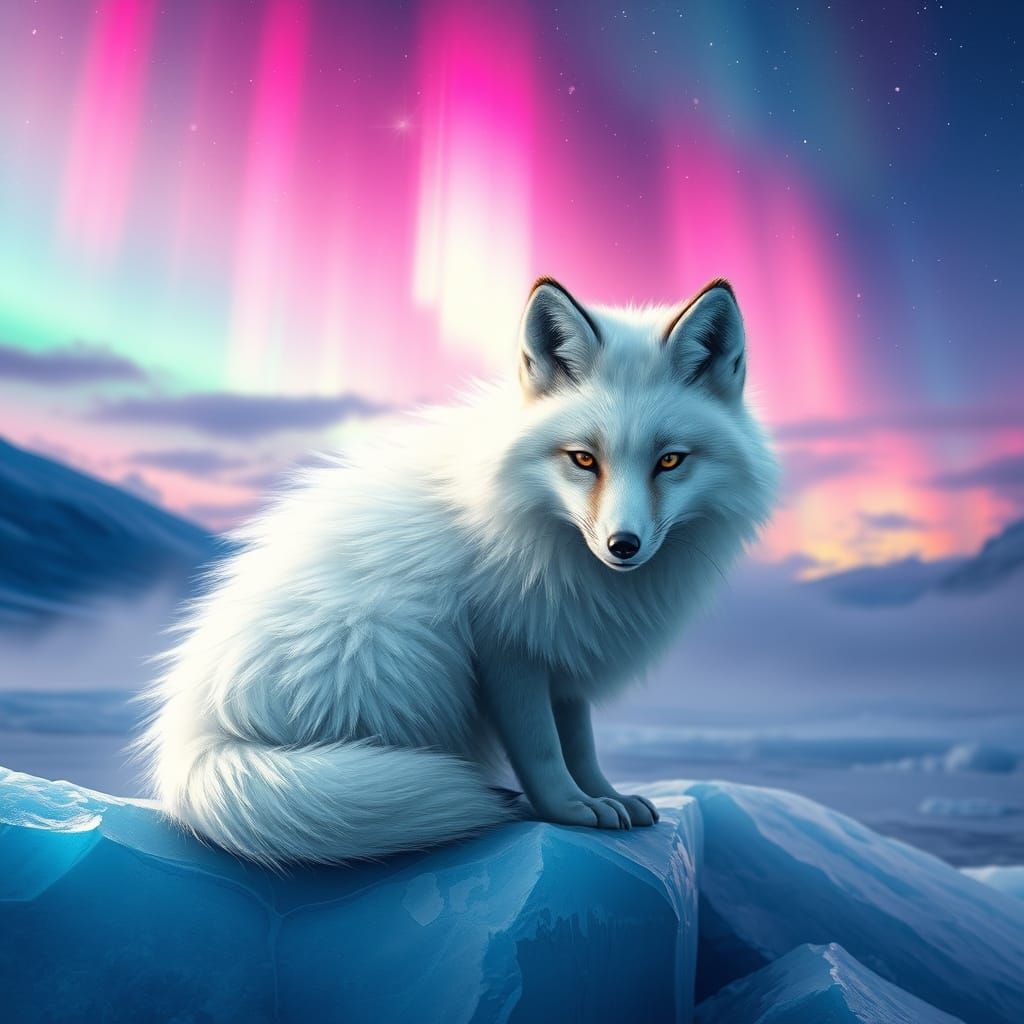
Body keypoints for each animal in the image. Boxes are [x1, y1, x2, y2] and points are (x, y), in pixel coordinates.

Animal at [138, 276, 778, 867]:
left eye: (669, 460)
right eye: (583, 459)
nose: (624, 545)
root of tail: (191, 739)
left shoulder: (564, 644)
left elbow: (580, 742)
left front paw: (606, 796)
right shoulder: (505, 648)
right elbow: (542, 748)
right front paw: (569, 808)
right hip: (398, 644)